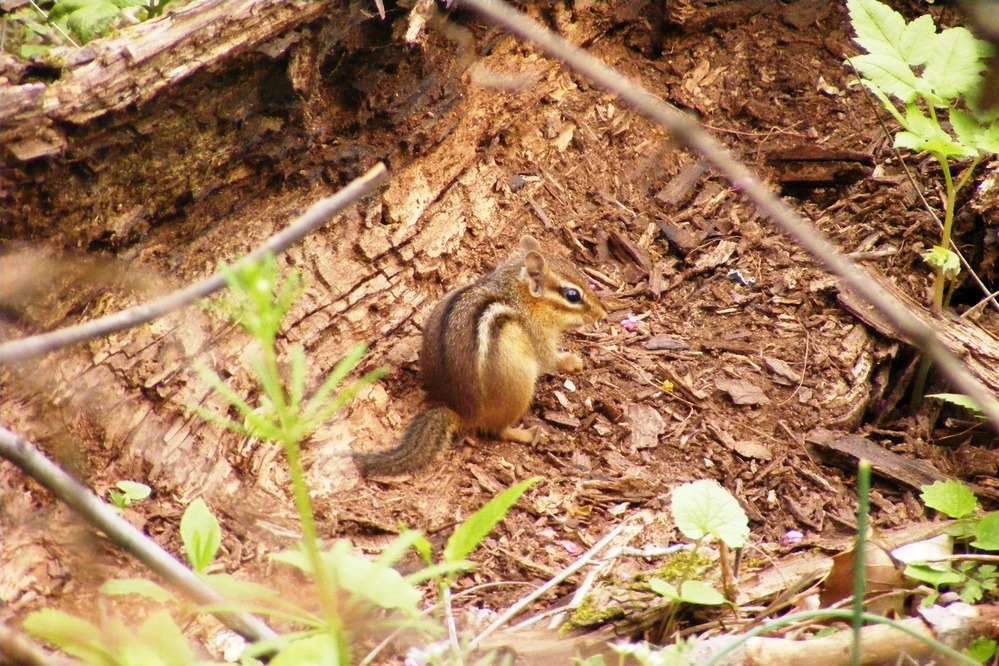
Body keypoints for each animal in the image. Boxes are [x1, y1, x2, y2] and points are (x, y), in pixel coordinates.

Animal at [354, 235, 607, 476]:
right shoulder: (539, 337)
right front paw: (573, 362)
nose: (603, 313)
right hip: (520, 386)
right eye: (572, 295)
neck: (521, 295)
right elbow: (549, 359)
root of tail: (463, 413)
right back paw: (527, 434)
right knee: (498, 430)